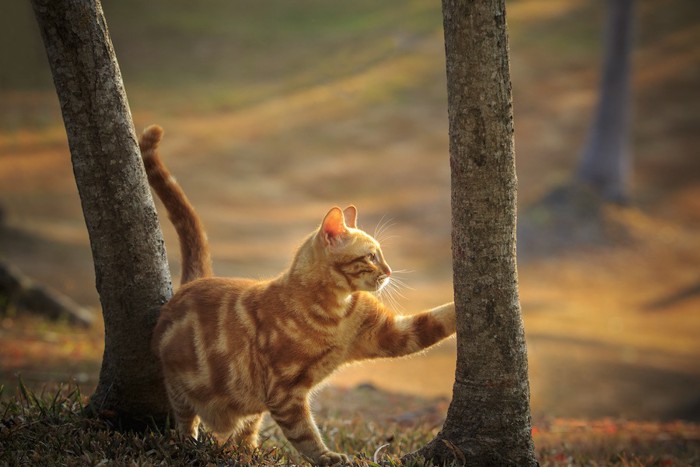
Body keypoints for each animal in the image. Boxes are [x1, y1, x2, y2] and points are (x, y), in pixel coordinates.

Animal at [140, 124, 456, 464]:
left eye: (380, 255)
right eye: (372, 256)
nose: (389, 271)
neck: (337, 310)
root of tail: (191, 284)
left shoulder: (392, 334)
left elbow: (436, 319)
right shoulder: (284, 391)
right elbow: (305, 434)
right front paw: (328, 457)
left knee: (245, 434)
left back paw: (249, 454)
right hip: (181, 390)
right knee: (186, 423)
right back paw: (190, 446)